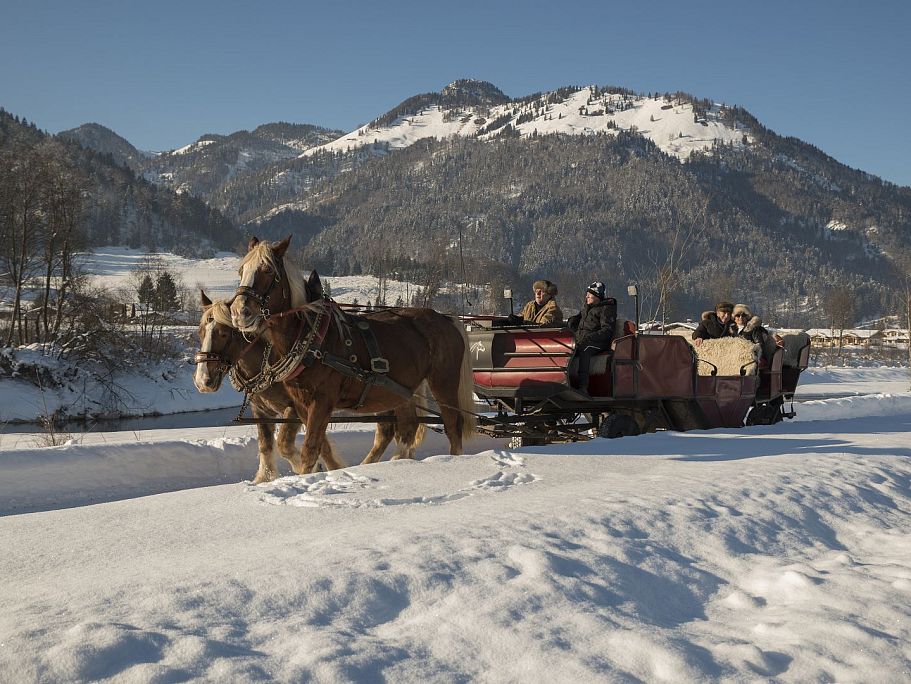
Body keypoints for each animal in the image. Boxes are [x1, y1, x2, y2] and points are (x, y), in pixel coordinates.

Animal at [230, 238, 478, 472]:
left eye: (267, 270)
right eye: (241, 270)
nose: (240, 312)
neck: (312, 336)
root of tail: (446, 318)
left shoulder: (322, 401)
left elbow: (310, 450)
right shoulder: (300, 404)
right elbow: (316, 446)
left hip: (444, 383)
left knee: (452, 425)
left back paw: (451, 459)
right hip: (403, 389)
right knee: (408, 427)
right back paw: (394, 462)